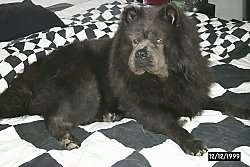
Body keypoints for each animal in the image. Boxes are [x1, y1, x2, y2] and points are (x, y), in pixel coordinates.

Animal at [0, 3, 249, 155]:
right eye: (134, 41)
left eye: (158, 40)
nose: (140, 53)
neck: (164, 79)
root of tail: (31, 74)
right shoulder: (143, 106)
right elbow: (167, 122)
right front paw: (191, 142)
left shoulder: (191, 93)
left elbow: (223, 103)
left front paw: (244, 111)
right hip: (86, 87)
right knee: (54, 118)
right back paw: (68, 138)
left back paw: (110, 115)